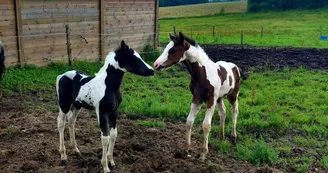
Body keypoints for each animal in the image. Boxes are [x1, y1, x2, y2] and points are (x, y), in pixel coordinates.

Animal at [56, 41, 154, 173]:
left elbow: (113, 134)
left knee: (71, 120)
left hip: (77, 105)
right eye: (134, 58)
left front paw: (111, 162)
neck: (108, 86)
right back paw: (63, 156)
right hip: (64, 104)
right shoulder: (101, 112)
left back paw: (76, 150)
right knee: (61, 123)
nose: (152, 71)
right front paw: (105, 166)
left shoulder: (114, 111)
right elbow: (105, 138)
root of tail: (61, 75)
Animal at [154, 33, 246, 162]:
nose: (156, 65)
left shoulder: (210, 100)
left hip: (233, 96)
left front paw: (203, 153)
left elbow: (206, 125)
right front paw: (186, 149)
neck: (203, 73)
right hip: (219, 98)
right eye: (166, 48)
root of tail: (235, 67)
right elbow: (189, 121)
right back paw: (221, 137)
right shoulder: (196, 98)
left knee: (235, 111)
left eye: (173, 50)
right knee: (223, 112)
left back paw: (233, 137)